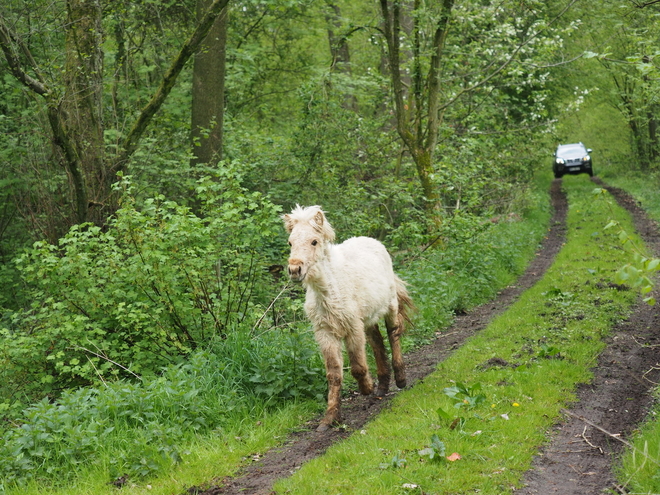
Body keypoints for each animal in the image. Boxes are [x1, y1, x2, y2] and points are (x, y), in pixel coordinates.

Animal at [282, 204, 412, 430]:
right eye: (290, 242)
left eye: (314, 241)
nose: (295, 269)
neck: (330, 292)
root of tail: (372, 241)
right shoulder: (326, 333)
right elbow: (333, 374)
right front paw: (329, 419)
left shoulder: (352, 327)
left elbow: (358, 367)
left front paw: (367, 387)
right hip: (368, 318)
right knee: (377, 341)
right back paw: (382, 386)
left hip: (390, 306)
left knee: (393, 334)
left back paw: (400, 379)